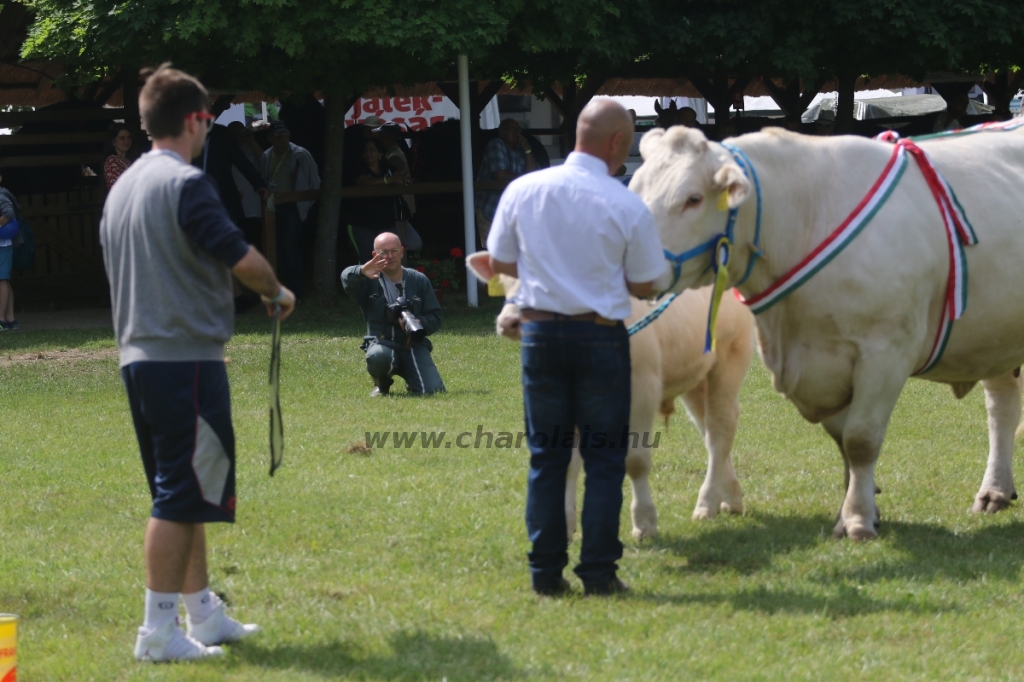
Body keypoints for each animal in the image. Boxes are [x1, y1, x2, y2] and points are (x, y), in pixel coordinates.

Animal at [468, 251, 757, 540]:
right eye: (505, 279)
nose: (509, 323)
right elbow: (568, 464)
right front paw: (566, 524)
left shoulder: (642, 390)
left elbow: (635, 460)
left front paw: (644, 522)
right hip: (694, 376)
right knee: (711, 429)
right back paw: (730, 497)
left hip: (729, 360)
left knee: (719, 433)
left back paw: (706, 504)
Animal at [626, 124, 1024, 540]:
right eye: (636, 188)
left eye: (693, 198)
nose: (634, 269)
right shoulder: (823, 363)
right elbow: (843, 442)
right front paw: (859, 510)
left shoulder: (885, 352)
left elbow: (861, 440)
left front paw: (858, 520)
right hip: (995, 336)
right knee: (1002, 407)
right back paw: (995, 491)